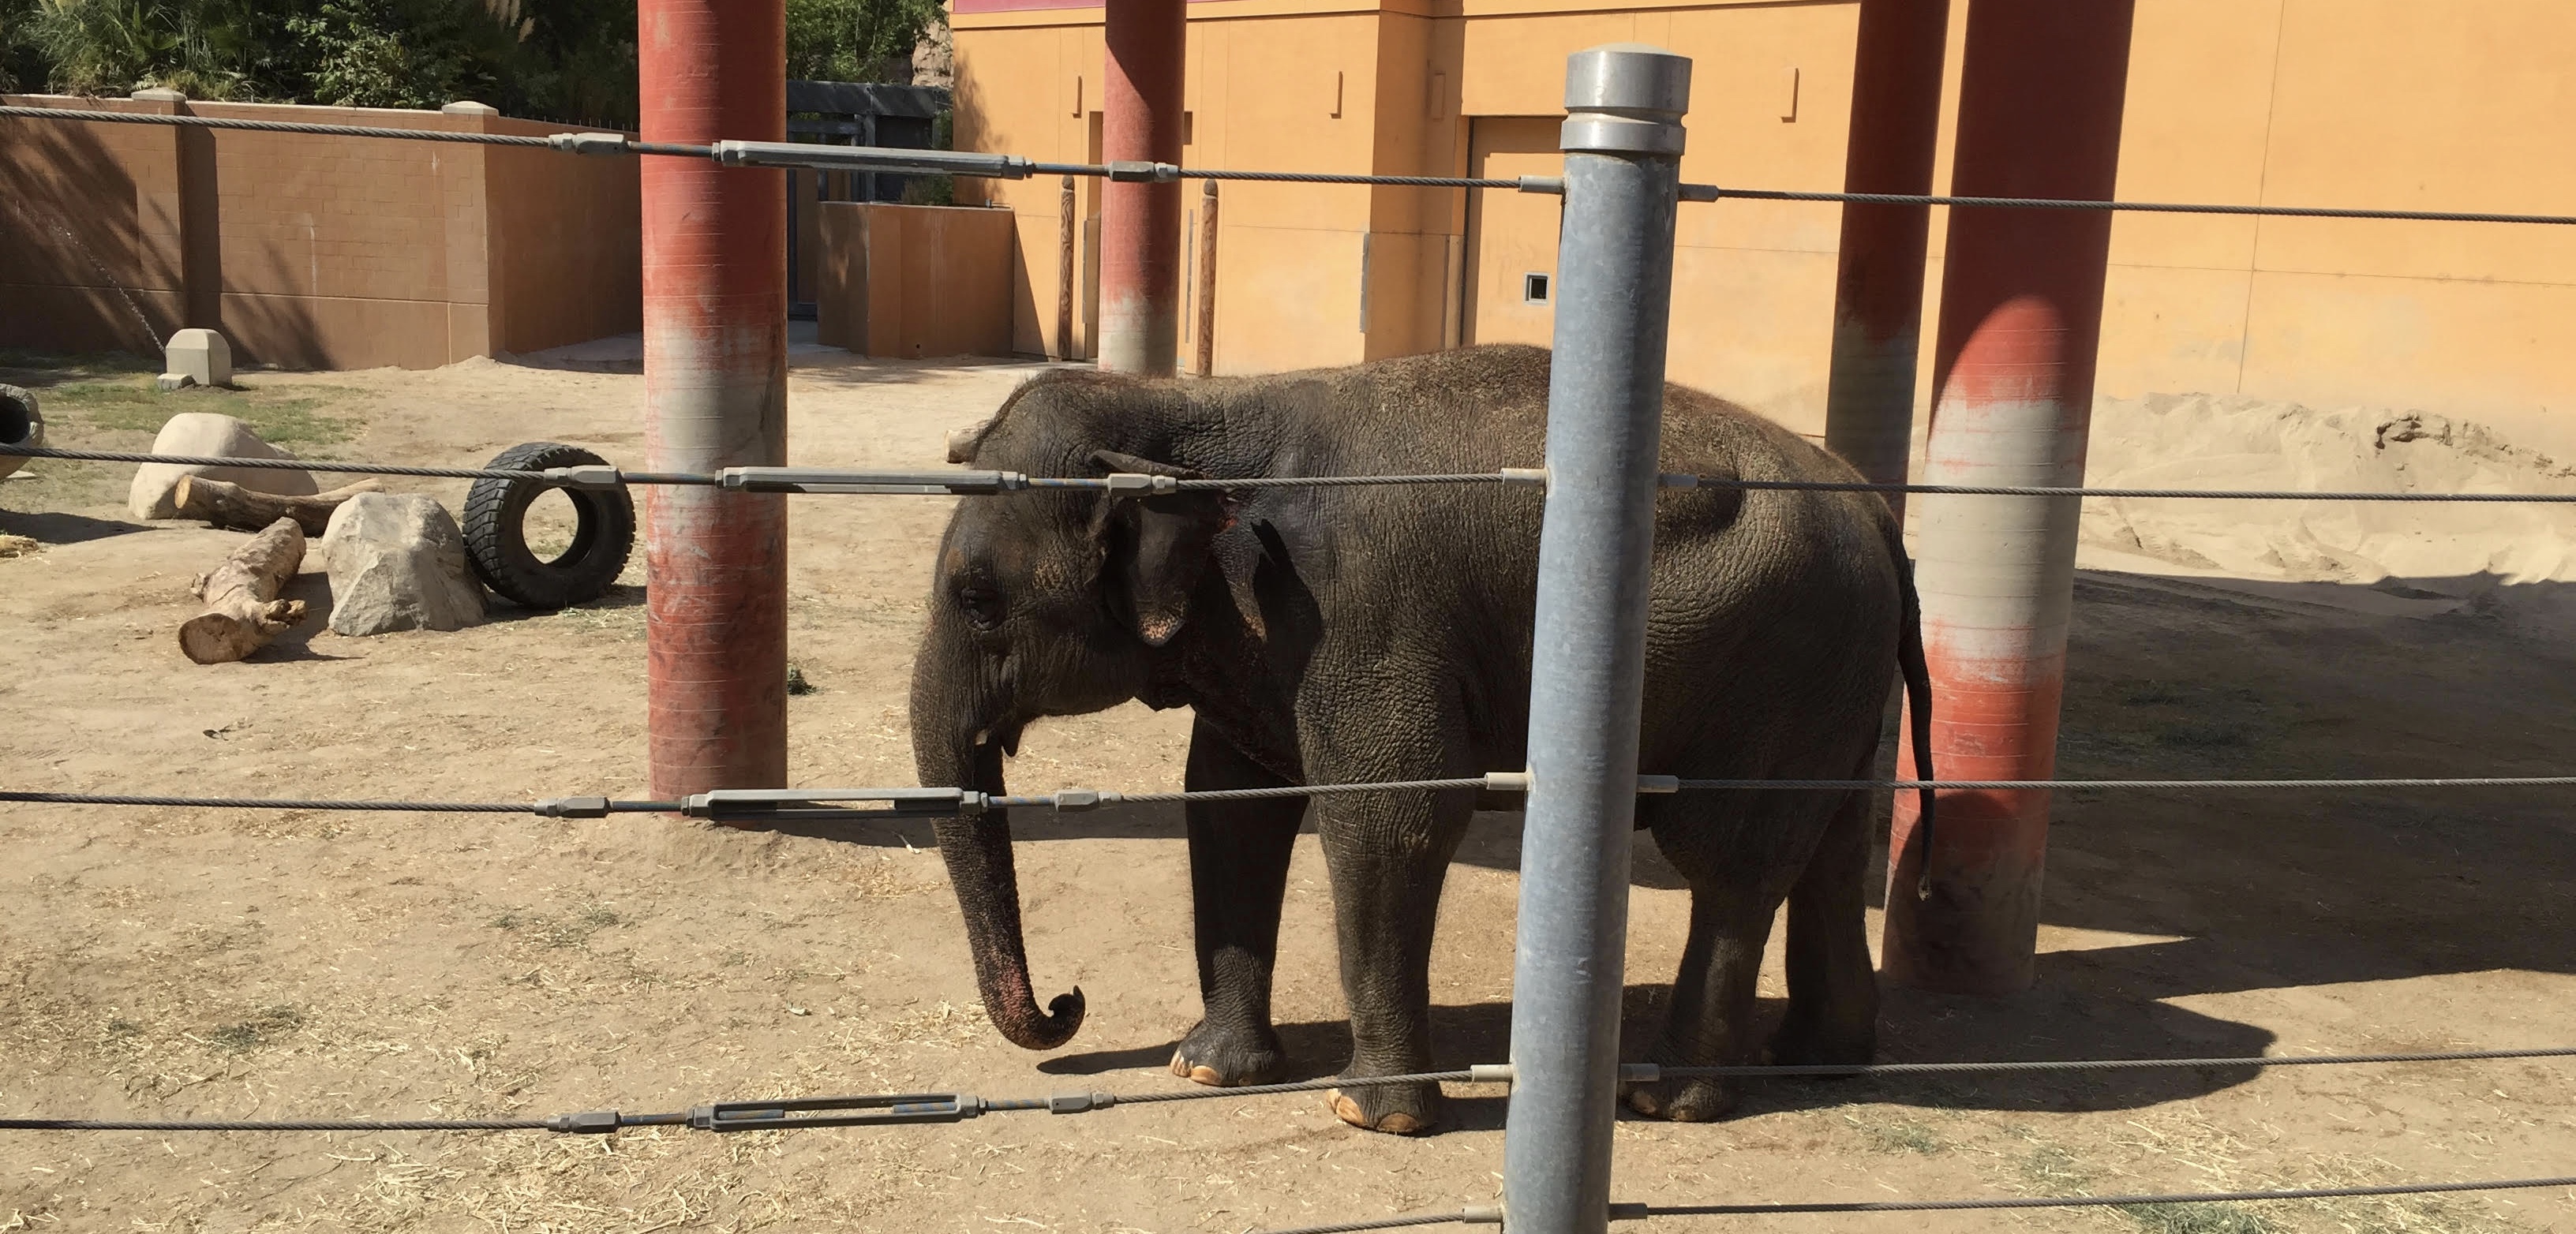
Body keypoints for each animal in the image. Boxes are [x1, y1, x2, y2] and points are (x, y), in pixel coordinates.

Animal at [911, 343, 1931, 1133]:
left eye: (979, 599)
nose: (1068, 1002)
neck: (1192, 403)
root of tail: (1881, 513)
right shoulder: (1261, 637)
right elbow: (1230, 806)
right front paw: (1206, 1070)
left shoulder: (1355, 609)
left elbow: (1391, 814)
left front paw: (1367, 1115)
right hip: (1837, 680)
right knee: (1831, 849)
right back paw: (1819, 1057)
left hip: (1783, 662)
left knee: (1730, 864)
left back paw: (1666, 1100)